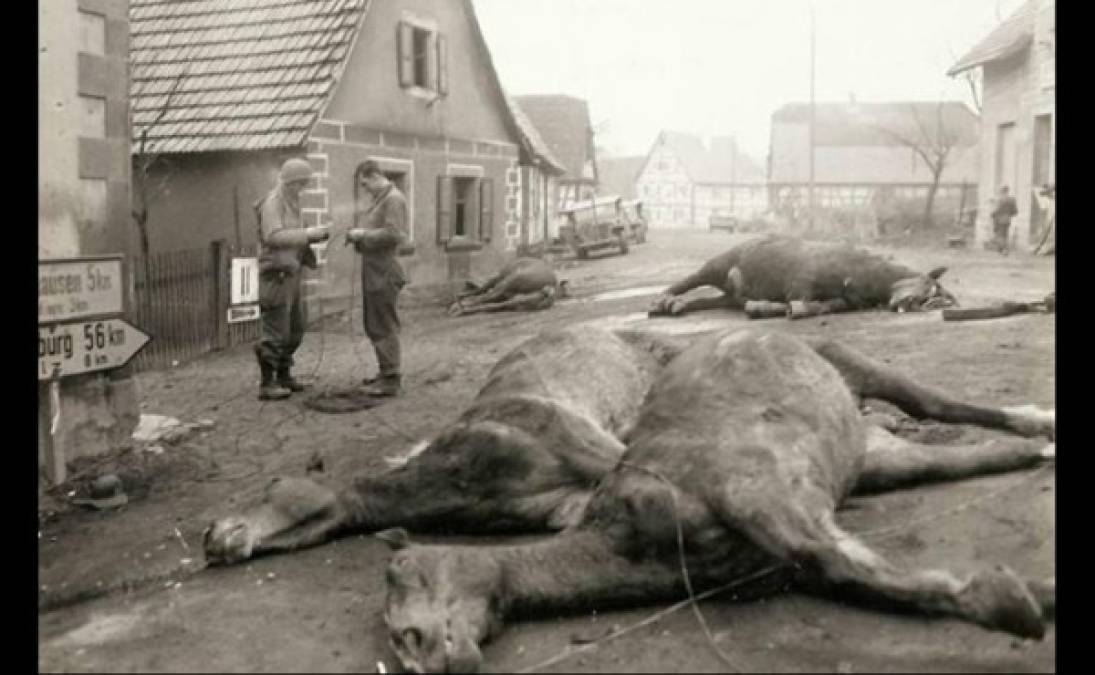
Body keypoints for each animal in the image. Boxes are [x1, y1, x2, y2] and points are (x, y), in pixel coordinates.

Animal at [203, 324, 1051, 565]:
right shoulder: (570, 499)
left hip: (851, 360)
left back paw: (1029, 419)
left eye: (270, 488)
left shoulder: (594, 450)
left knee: (926, 397)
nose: (214, 536)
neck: (458, 471)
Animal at [383, 326, 1051, 670]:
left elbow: (835, 558)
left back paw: (1036, 421)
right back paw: (1035, 446)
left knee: (933, 401)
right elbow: (847, 566)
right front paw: (1031, 595)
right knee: (952, 449)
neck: (627, 536)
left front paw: (1006, 603)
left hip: (858, 370)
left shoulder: (752, 484)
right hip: (868, 451)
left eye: (401, 576)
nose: (420, 653)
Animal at [648, 234, 959, 319]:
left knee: (707, 301)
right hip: (716, 264)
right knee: (688, 280)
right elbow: (798, 304)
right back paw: (659, 302)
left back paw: (675, 307)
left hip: (727, 295)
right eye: (930, 288)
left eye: (942, 301)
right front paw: (767, 308)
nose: (916, 305)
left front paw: (762, 307)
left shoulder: (842, 301)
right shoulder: (801, 281)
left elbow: (817, 307)